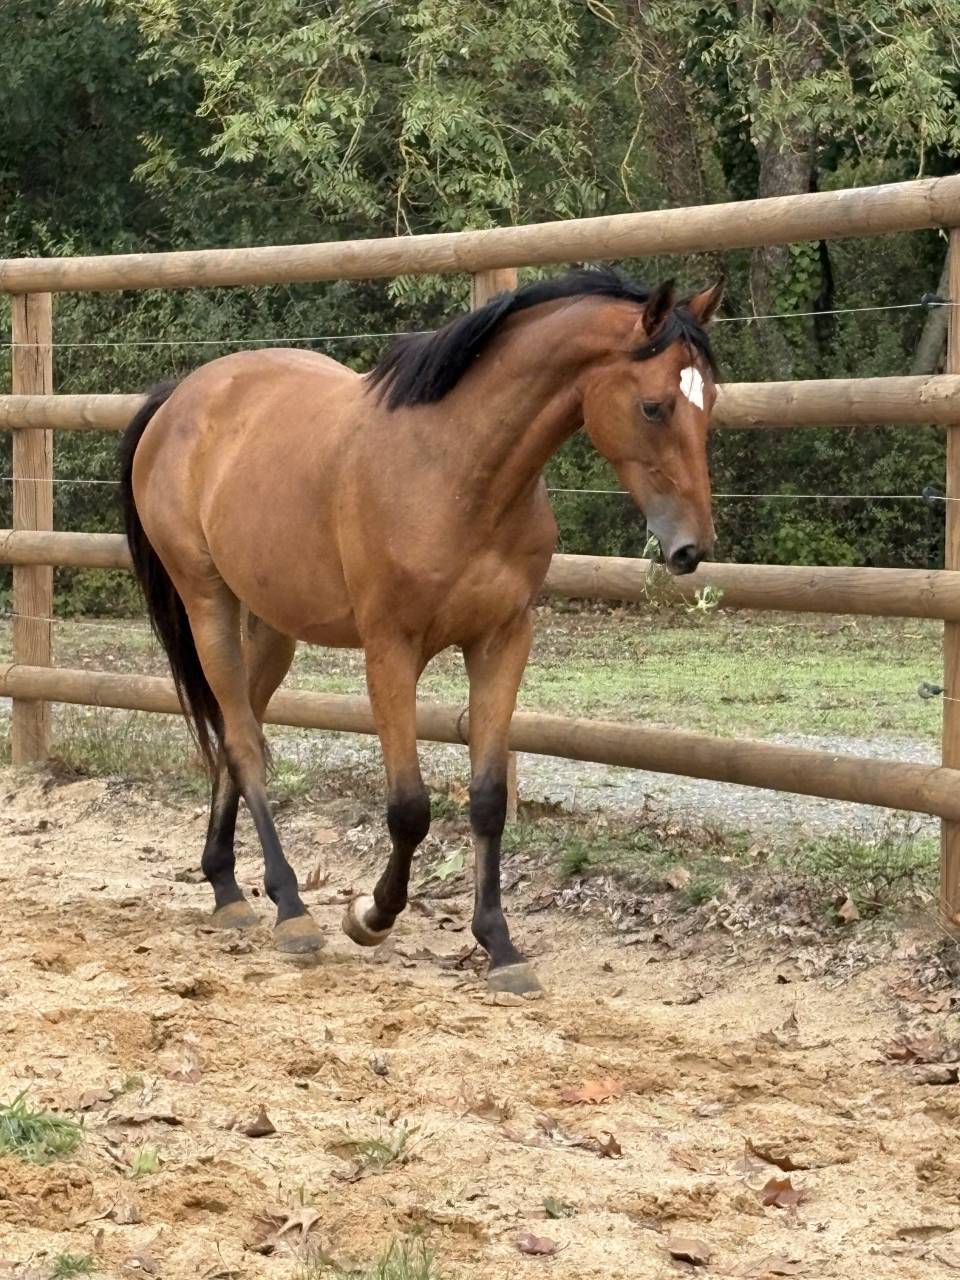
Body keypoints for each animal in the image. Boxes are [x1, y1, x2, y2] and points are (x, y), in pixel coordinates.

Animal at [119, 267, 722, 994]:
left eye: (709, 403)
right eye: (654, 407)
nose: (692, 547)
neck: (455, 469)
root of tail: (180, 398)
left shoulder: (501, 641)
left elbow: (487, 799)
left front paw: (499, 945)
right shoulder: (390, 650)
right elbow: (409, 807)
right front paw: (370, 916)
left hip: (271, 626)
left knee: (244, 733)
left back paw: (227, 887)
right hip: (208, 602)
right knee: (241, 742)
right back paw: (291, 910)